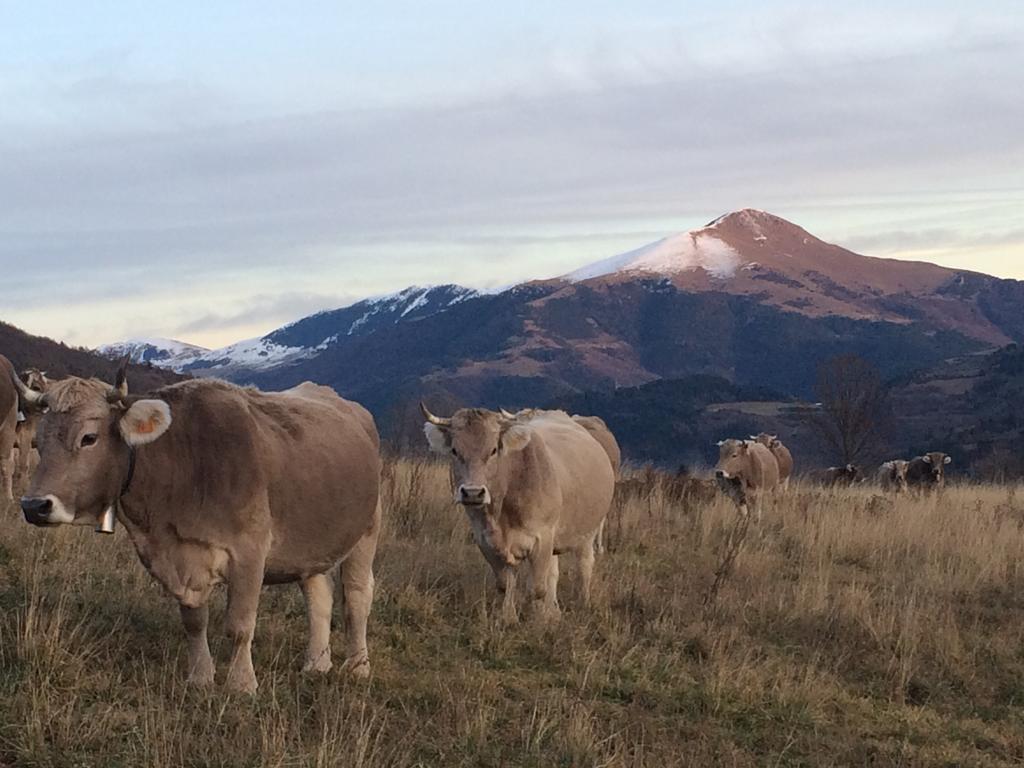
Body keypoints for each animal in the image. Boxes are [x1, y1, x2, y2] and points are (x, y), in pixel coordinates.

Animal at [14, 364, 385, 696]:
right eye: (39, 442)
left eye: (89, 438)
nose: (34, 505)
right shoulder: (183, 559)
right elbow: (194, 623)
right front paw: (201, 677)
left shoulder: (250, 552)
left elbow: (239, 626)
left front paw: (242, 685)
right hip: (311, 542)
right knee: (319, 595)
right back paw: (317, 663)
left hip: (367, 530)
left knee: (356, 596)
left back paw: (358, 666)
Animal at [419, 405, 610, 622]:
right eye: (454, 450)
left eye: (493, 450)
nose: (473, 493)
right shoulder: (486, 541)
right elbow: (506, 584)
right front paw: (508, 618)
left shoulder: (542, 538)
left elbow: (536, 588)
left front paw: (539, 620)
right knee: (553, 572)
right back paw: (554, 611)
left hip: (588, 532)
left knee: (584, 567)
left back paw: (582, 603)